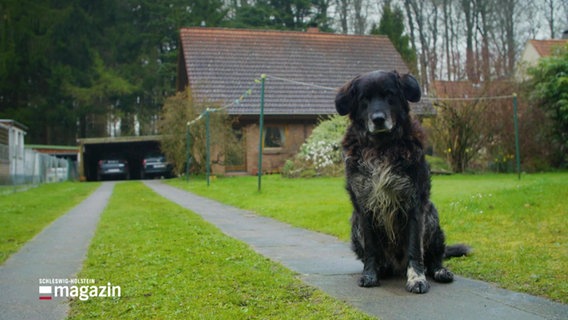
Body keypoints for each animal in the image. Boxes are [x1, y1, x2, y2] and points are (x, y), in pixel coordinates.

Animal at [336, 70, 468, 296]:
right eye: (364, 99)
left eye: (389, 94)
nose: (378, 119)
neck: (381, 147)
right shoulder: (364, 207)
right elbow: (371, 249)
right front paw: (370, 274)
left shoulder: (414, 204)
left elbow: (415, 249)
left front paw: (416, 278)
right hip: (355, 223)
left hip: (431, 215)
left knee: (434, 258)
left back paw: (439, 271)